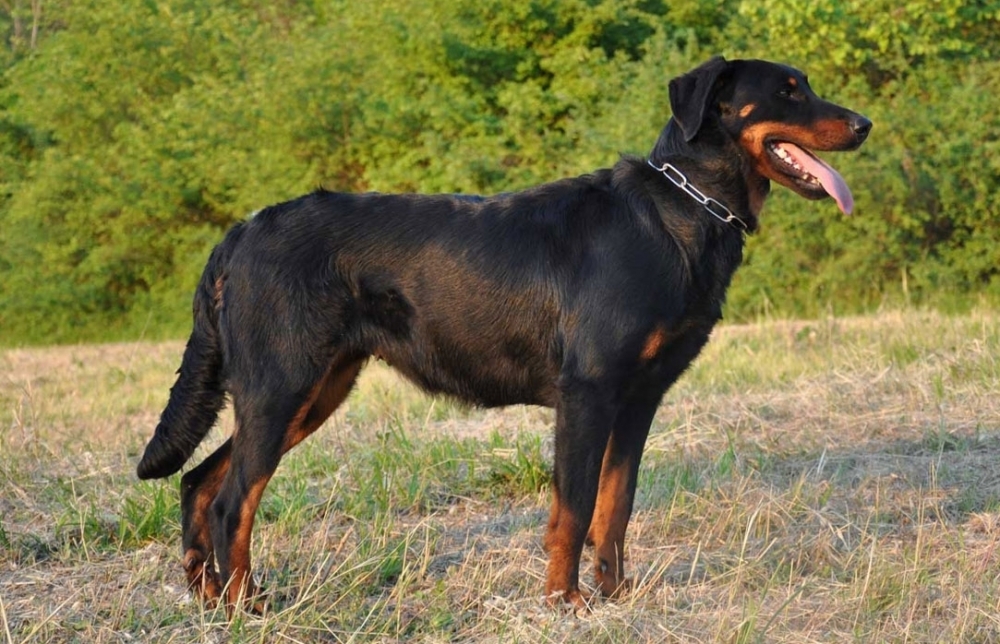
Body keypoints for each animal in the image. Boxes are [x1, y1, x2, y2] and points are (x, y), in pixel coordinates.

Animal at [137, 56, 872, 612]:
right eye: (788, 90)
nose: (865, 124)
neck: (679, 212)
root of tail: (239, 232)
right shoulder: (588, 395)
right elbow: (573, 509)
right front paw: (565, 602)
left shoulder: (638, 402)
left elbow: (615, 507)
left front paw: (616, 593)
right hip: (282, 387)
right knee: (232, 503)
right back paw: (245, 605)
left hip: (306, 393)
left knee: (199, 484)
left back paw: (209, 596)